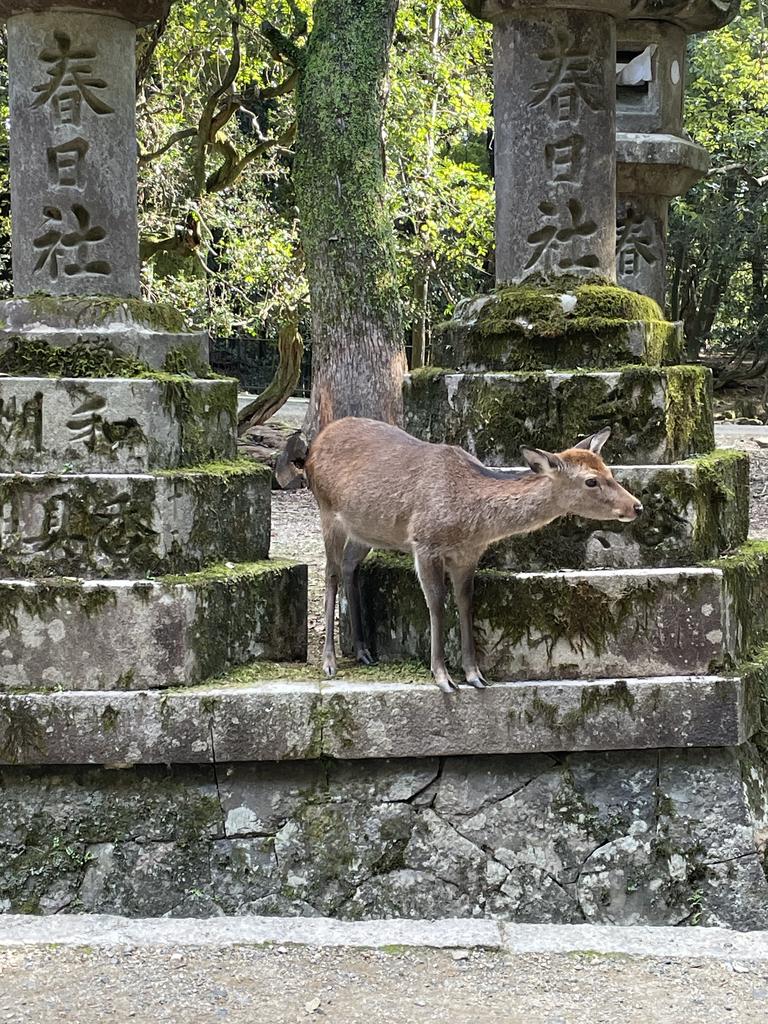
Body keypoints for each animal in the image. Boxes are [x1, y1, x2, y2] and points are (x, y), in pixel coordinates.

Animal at [307, 411, 643, 692]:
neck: (471, 521)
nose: (636, 507)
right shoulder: (424, 544)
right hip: (327, 512)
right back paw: (329, 662)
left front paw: (475, 675)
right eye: (591, 481)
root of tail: (315, 444)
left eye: (610, 471)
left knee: (349, 567)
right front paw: (443, 678)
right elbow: (436, 603)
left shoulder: (469, 554)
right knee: (330, 574)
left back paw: (363, 651)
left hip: (366, 530)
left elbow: (466, 601)